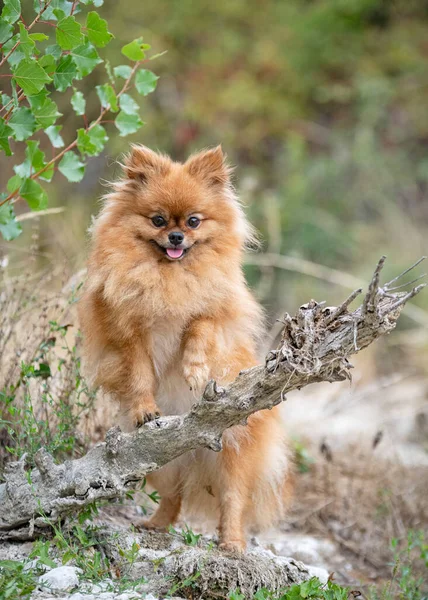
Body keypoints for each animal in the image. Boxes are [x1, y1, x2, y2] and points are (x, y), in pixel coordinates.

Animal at [78, 146, 292, 552]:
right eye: (158, 220)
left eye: (194, 221)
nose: (176, 236)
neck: (169, 276)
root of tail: (193, 451)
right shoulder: (129, 335)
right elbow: (140, 375)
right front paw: (145, 409)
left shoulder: (215, 312)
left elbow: (199, 328)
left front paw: (194, 369)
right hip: (159, 462)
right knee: (173, 497)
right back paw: (155, 525)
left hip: (232, 456)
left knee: (232, 501)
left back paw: (232, 542)